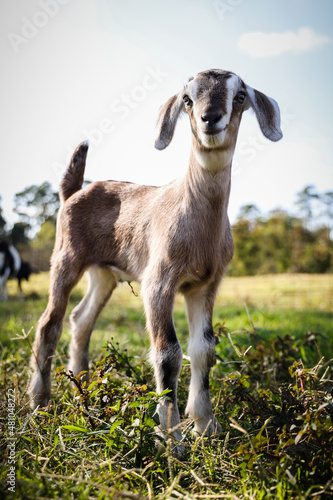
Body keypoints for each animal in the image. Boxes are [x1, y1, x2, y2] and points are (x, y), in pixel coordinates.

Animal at [29, 68, 282, 448]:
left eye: (239, 97)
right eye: (188, 99)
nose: (210, 118)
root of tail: (73, 192)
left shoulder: (206, 284)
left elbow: (204, 348)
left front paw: (205, 426)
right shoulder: (159, 281)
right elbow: (168, 353)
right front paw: (172, 439)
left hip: (103, 273)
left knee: (81, 319)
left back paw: (83, 390)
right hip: (65, 257)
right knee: (50, 323)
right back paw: (40, 403)